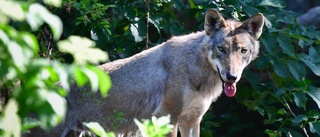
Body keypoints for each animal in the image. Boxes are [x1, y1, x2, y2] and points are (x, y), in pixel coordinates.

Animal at [31, 9, 264, 137]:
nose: (231, 77)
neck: (197, 70)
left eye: (243, 51)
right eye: (221, 49)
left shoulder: (192, 120)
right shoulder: (168, 118)